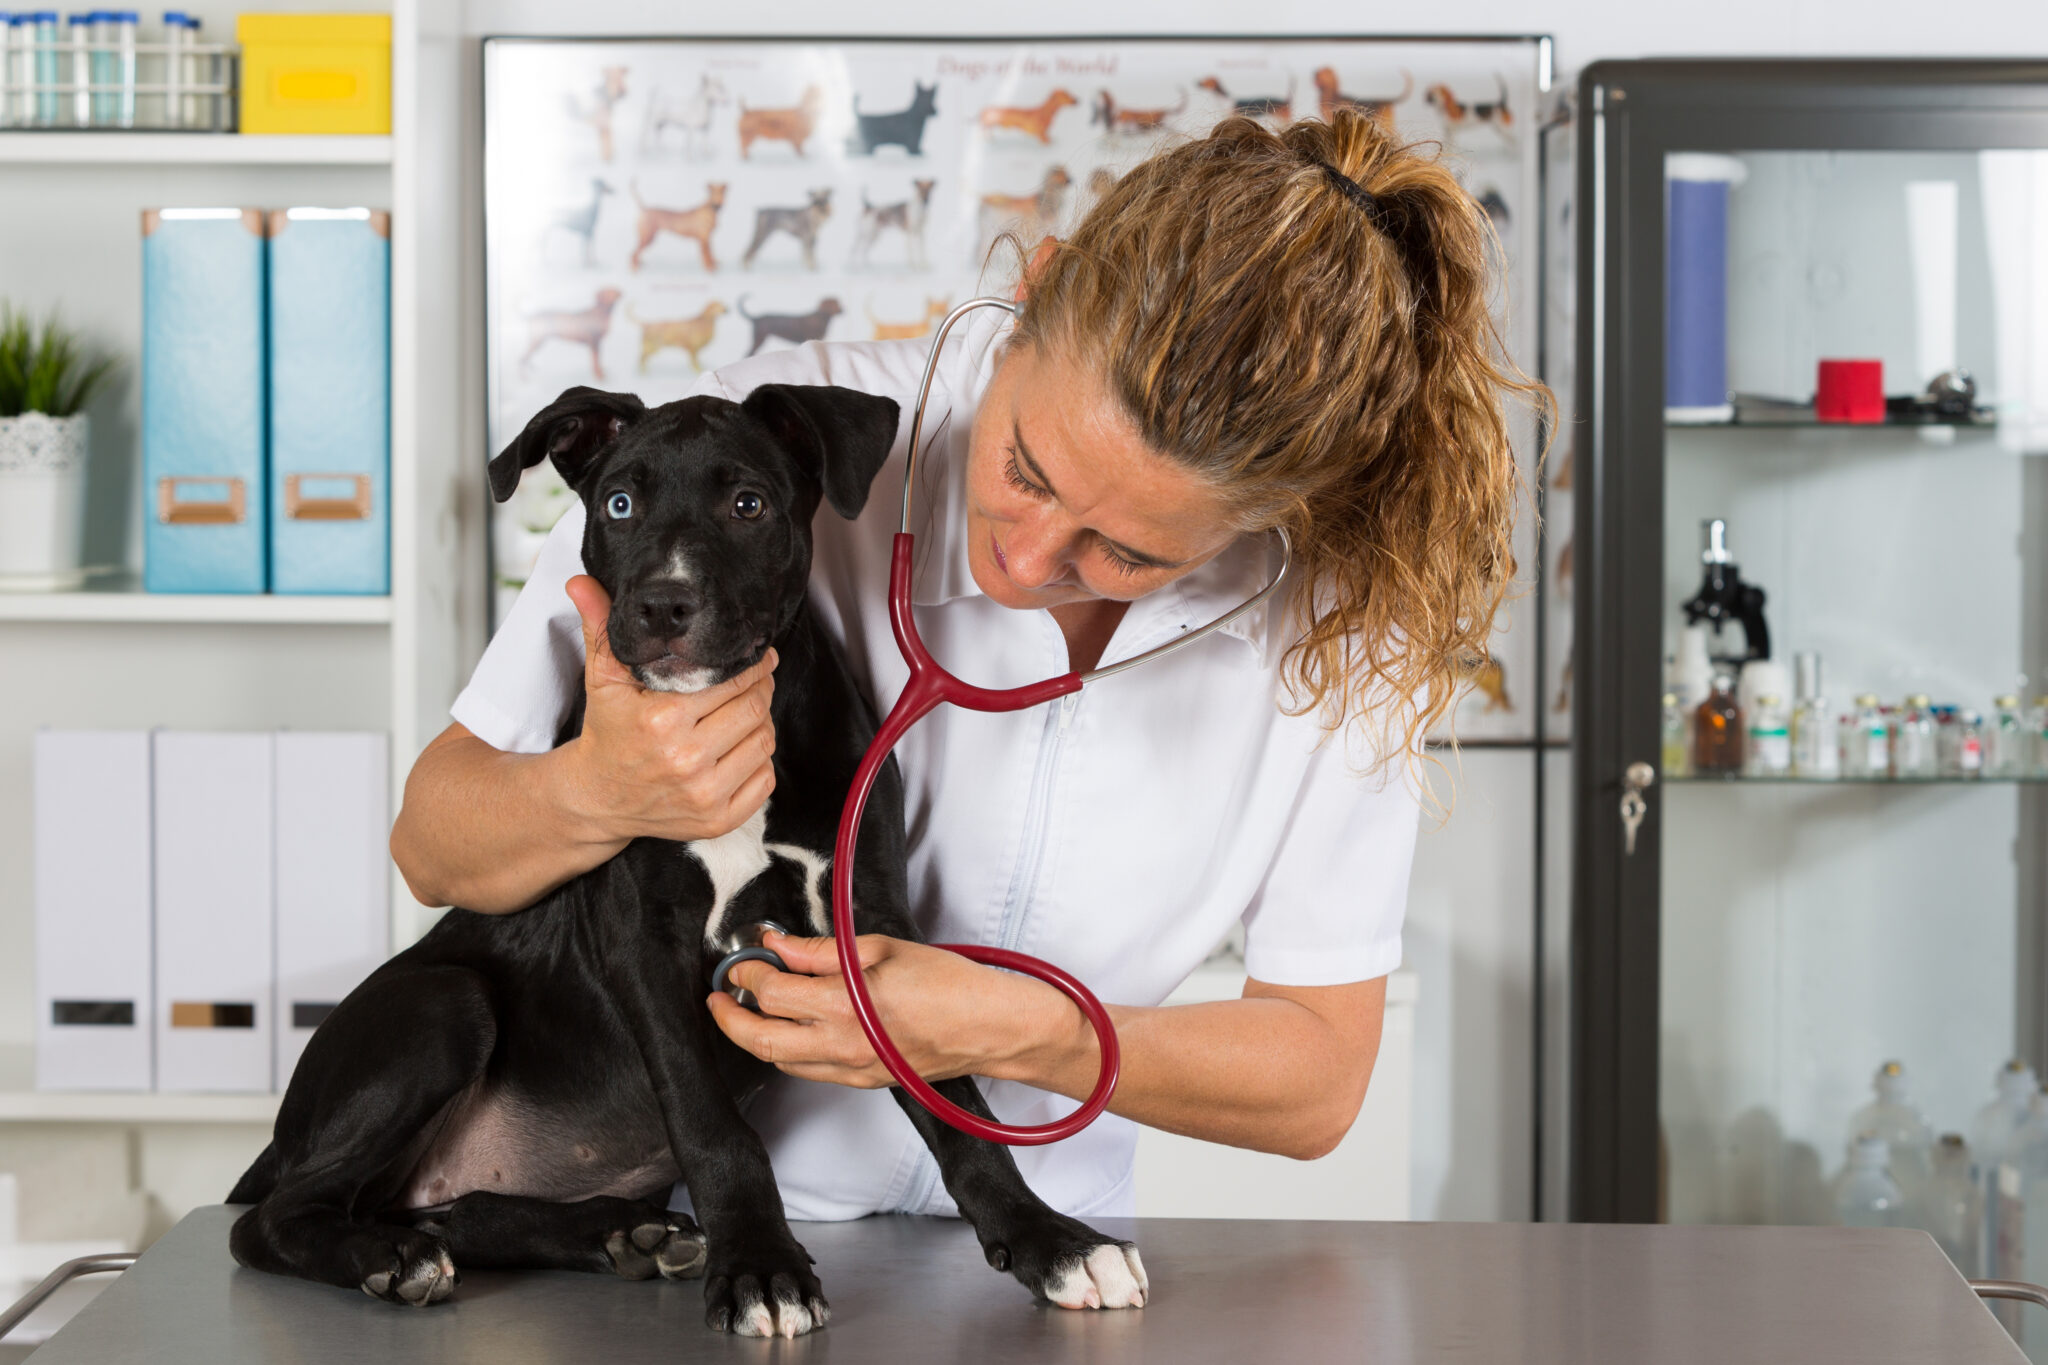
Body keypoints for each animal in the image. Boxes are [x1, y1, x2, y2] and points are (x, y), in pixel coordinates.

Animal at [230, 382, 1155, 1334]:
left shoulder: (869, 925)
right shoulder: (644, 942)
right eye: (618, 504)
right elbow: (712, 1120)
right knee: (273, 1218)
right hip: (443, 1004)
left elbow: (956, 1103)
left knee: (457, 1208)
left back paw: (615, 1234)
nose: (663, 606)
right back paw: (392, 1256)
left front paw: (1054, 1242)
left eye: (747, 504)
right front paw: (761, 1267)